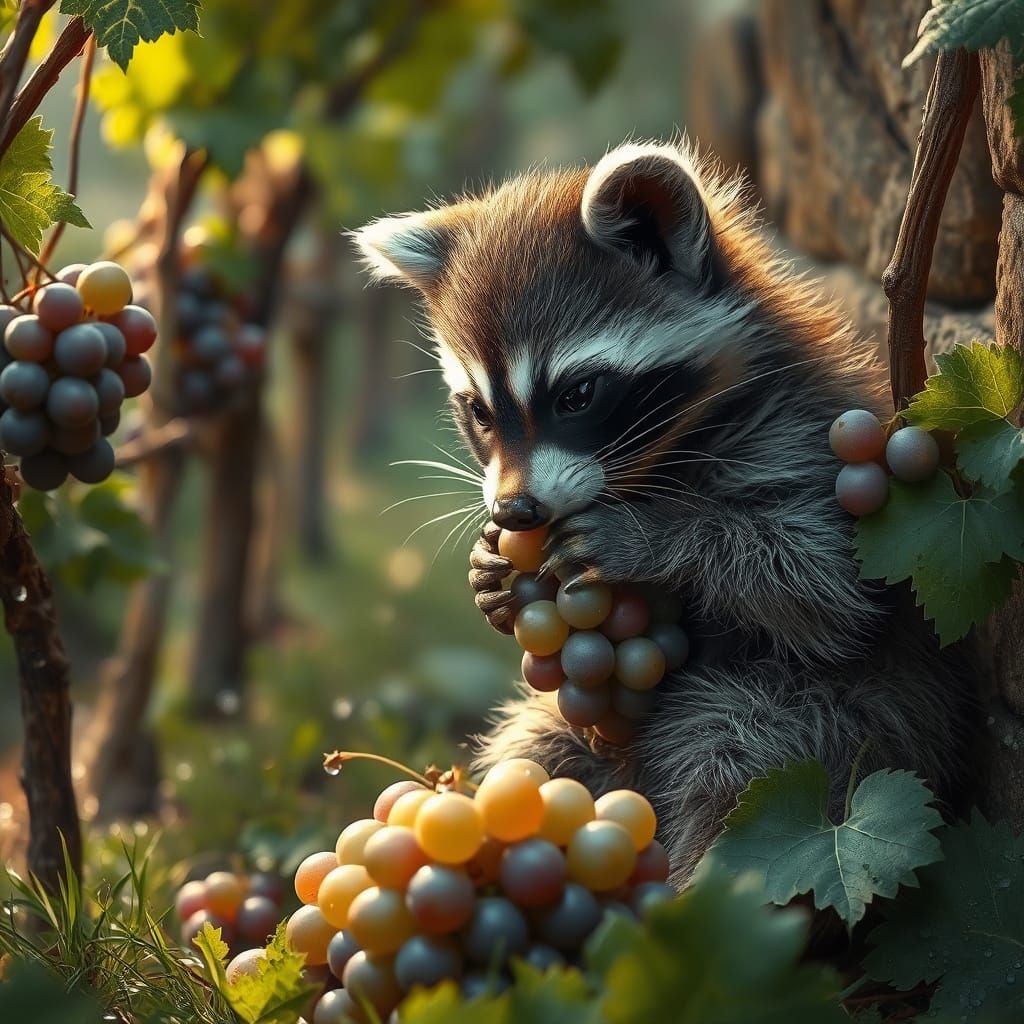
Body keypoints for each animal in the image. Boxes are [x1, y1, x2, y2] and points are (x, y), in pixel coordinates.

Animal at [354, 141, 976, 884]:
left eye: (577, 394)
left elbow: (822, 581)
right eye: (478, 411)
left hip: (850, 718)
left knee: (738, 761)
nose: (516, 509)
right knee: (534, 752)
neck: (665, 452)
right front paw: (490, 574)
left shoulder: (805, 441)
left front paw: (655, 540)